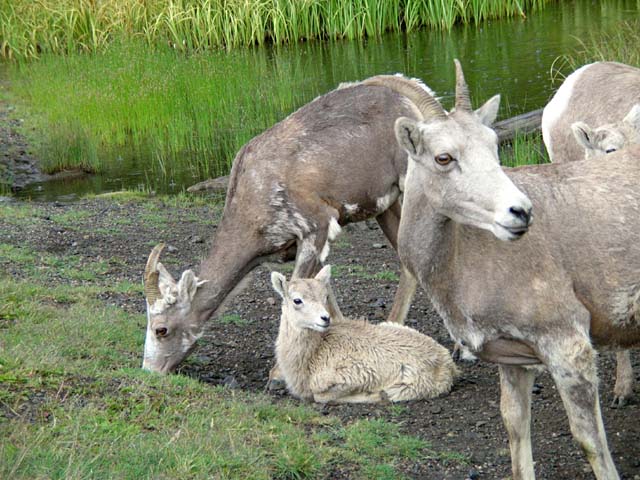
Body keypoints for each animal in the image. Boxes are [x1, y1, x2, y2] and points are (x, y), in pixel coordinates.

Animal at [142, 71, 502, 374]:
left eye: (161, 329)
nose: (149, 370)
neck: (255, 228)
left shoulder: (316, 223)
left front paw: (277, 372)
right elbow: (321, 291)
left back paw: (460, 347)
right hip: (385, 204)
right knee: (408, 258)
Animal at [270, 264, 460, 404]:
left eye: (325, 297)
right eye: (297, 300)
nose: (325, 318)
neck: (313, 354)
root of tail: (448, 364)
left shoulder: (351, 376)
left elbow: (322, 397)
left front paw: (370, 395)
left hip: (407, 388)